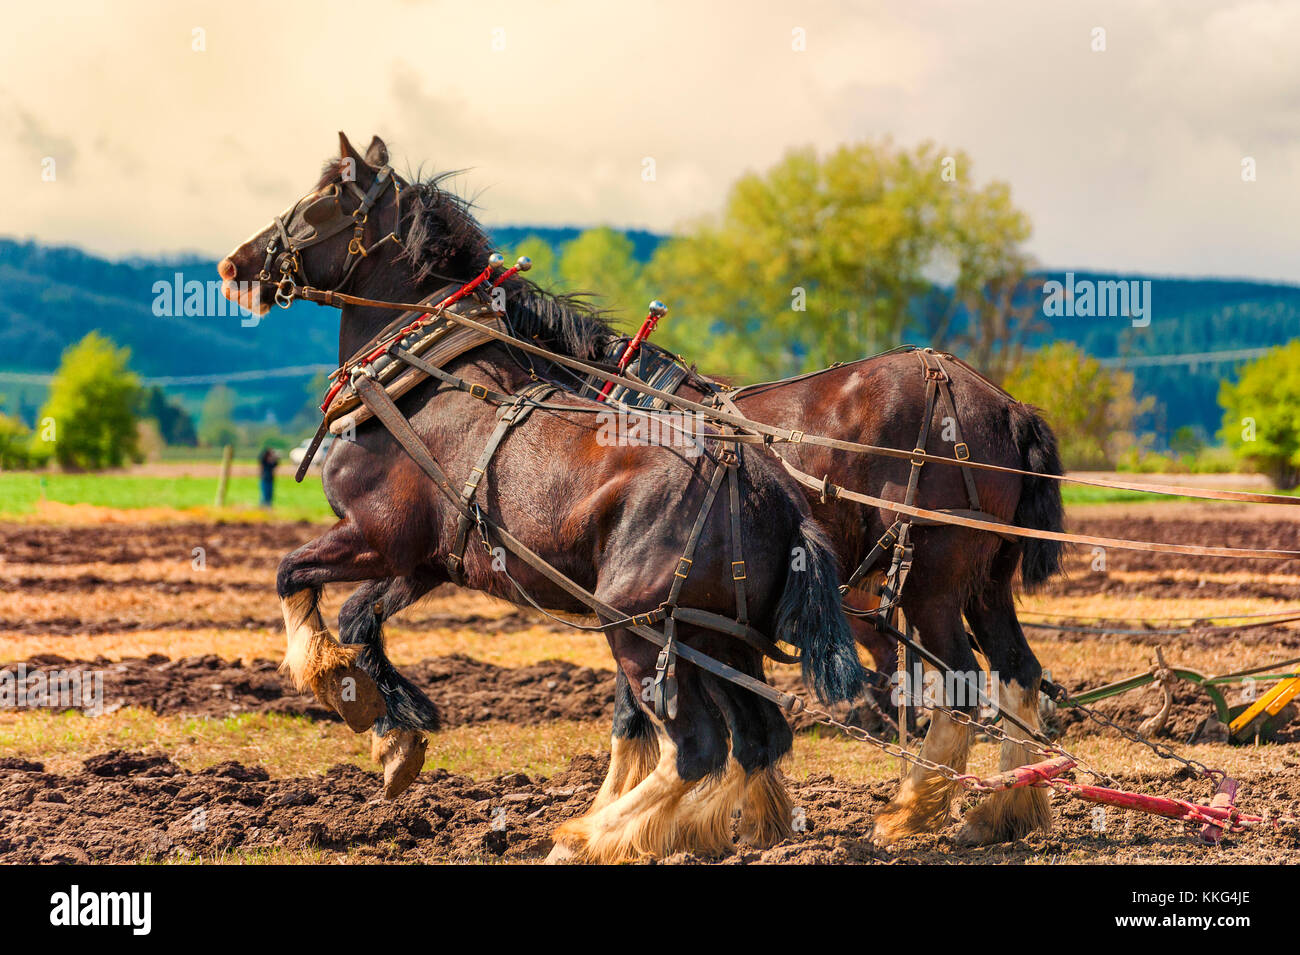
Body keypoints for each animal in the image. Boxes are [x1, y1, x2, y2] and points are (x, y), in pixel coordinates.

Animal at [217, 132, 867, 863]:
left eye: (325, 197)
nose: (234, 265)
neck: (420, 380)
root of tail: (770, 490)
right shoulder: (427, 559)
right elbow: (359, 616)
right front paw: (397, 736)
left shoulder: (373, 535)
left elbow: (290, 574)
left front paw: (336, 684)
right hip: (719, 635)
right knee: (760, 733)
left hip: (638, 625)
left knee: (699, 745)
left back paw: (588, 836)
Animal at [292, 134, 1068, 849]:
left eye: (318, 206)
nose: (258, 264)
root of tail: (1006, 405)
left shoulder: (632, 604)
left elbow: (646, 715)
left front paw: (620, 820)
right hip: (980, 583)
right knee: (1016, 670)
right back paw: (999, 809)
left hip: (930, 581)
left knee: (960, 685)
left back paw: (912, 810)